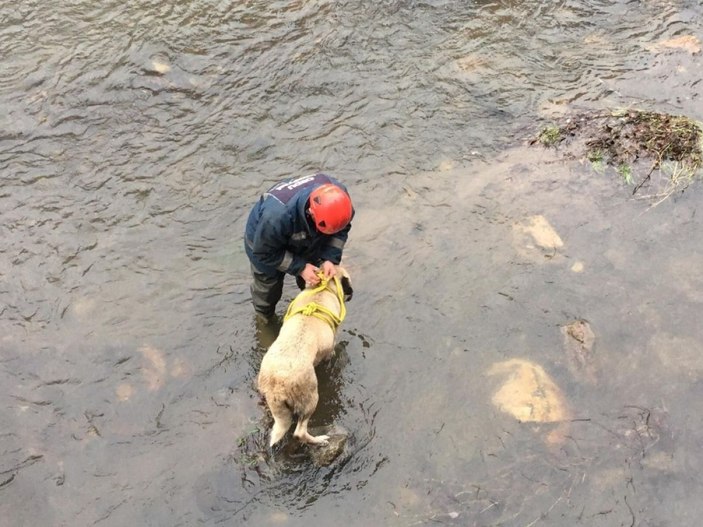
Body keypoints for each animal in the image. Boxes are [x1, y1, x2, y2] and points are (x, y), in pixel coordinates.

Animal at [256, 266, 352, 448]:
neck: (323, 288)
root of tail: (277, 382)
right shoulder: (332, 343)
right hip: (310, 399)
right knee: (299, 432)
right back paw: (319, 440)